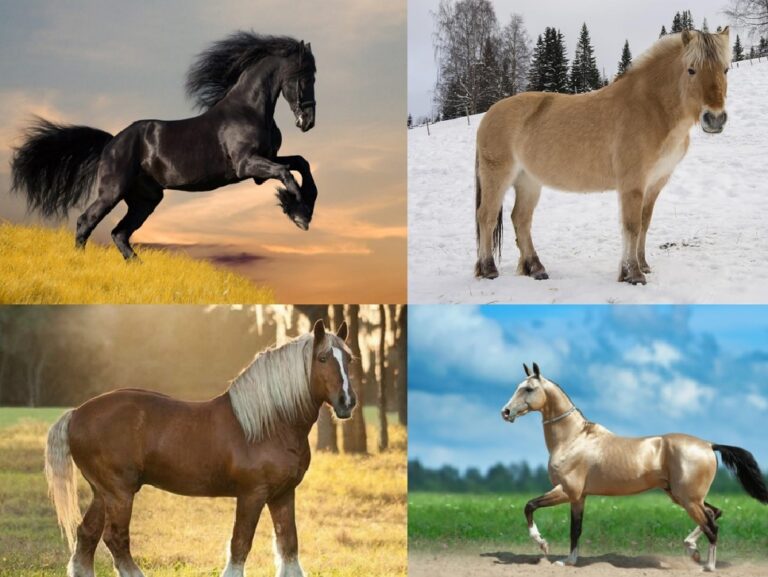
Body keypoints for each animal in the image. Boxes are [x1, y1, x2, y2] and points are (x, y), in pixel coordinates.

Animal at [11, 32, 317, 261]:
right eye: (305, 76)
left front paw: (303, 208)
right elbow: (287, 174)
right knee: (87, 221)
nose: (308, 121)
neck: (249, 110)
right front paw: (299, 214)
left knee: (119, 233)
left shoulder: (264, 163)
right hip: (113, 191)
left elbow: (301, 163)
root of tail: (111, 142)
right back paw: (81, 262)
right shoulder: (247, 165)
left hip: (146, 199)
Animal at [44, 319, 355, 577]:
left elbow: (289, 545)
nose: (347, 402)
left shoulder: (283, 494)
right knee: (115, 539)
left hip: (103, 493)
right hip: (119, 492)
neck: (271, 424)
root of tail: (77, 413)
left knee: (87, 535)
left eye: (349, 359)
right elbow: (240, 544)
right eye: (322, 358)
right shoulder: (252, 494)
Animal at [475, 28, 731, 285]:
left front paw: (642, 265)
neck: (650, 109)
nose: (715, 118)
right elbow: (632, 225)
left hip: (528, 181)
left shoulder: (655, 183)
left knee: (521, 219)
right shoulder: (632, 184)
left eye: (725, 69)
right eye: (691, 69)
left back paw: (536, 268)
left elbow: (644, 223)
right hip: (497, 176)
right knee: (486, 216)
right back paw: (488, 269)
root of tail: (489, 114)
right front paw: (633, 274)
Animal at [500, 362, 768, 572]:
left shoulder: (567, 491)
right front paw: (569, 561)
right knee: (715, 513)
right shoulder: (579, 497)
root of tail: (709, 445)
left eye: (529, 388)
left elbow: (529, 506)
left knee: (712, 526)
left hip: (689, 499)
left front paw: (544, 545)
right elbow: (575, 529)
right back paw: (692, 550)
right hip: (683, 496)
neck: (574, 438)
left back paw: (708, 566)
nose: (506, 412)